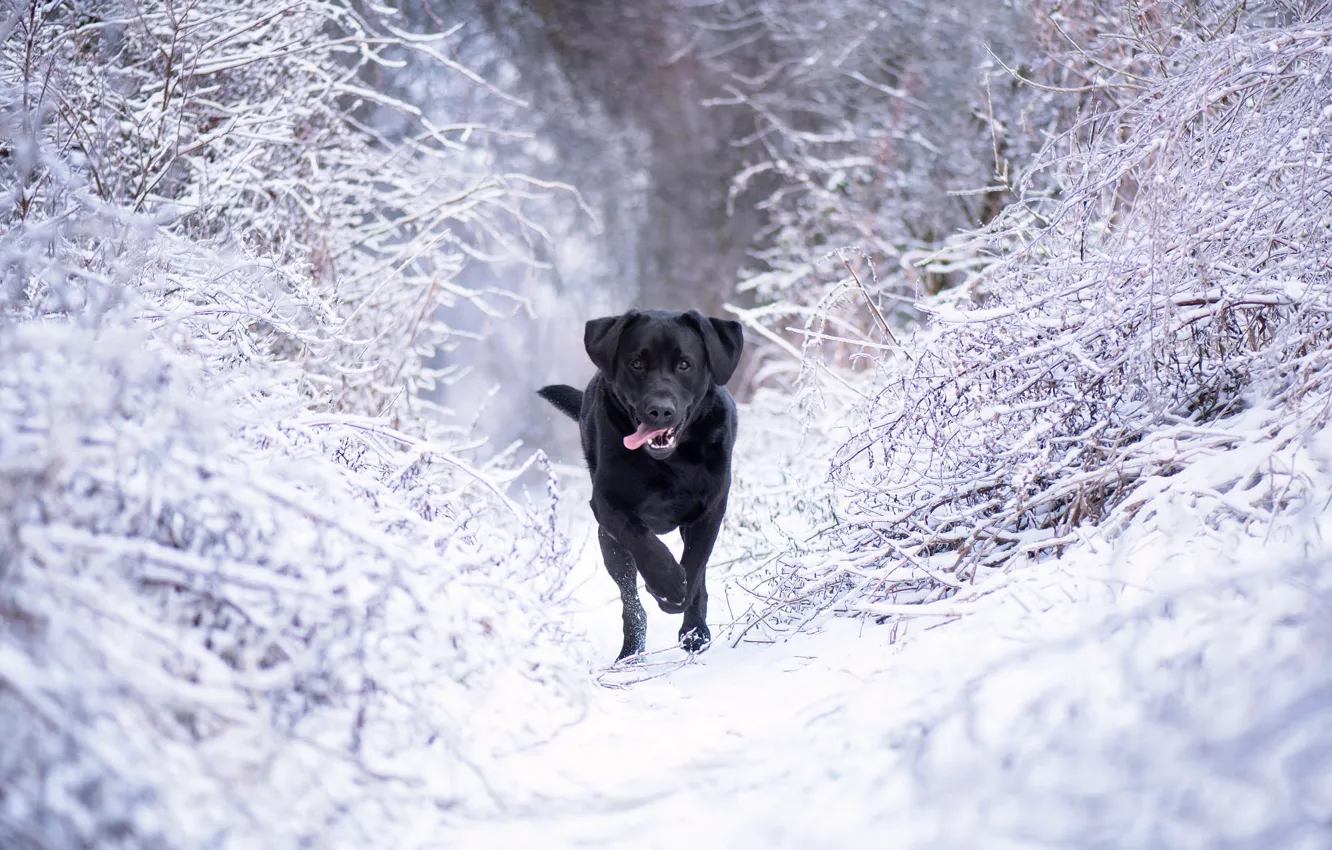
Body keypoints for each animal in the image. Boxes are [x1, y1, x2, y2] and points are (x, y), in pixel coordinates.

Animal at [540, 309, 751, 663]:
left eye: (685, 364)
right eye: (636, 363)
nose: (660, 410)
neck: (671, 462)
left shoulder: (711, 508)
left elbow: (695, 563)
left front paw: (683, 610)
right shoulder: (607, 504)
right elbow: (640, 538)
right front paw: (665, 582)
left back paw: (695, 632)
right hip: (608, 544)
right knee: (631, 602)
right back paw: (631, 650)